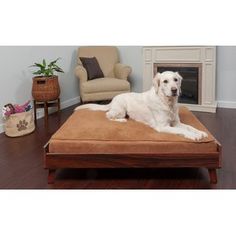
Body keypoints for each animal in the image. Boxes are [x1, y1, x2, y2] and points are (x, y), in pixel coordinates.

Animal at [75, 70, 206, 140]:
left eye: (176, 80)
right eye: (165, 81)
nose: (174, 90)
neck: (167, 102)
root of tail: (114, 98)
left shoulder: (176, 123)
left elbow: (190, 127)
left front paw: (201, 132)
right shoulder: (163, 126)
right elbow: (182, 130)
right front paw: (193, 136)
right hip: (121, 110)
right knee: (108, 115)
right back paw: (121, 120)